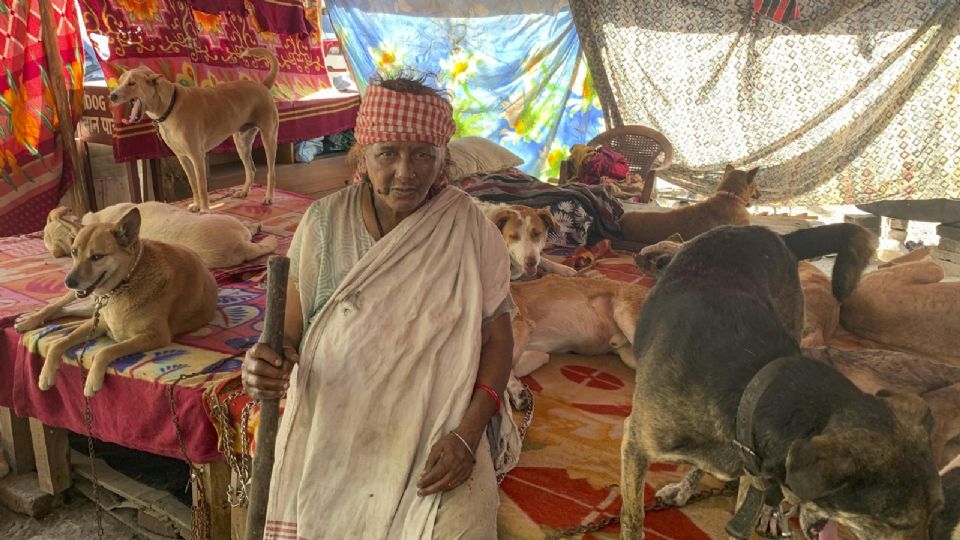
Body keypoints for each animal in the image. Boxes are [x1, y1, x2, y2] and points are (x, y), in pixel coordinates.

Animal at [19, 207, 218, 396]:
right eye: (74, 252)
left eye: (96, 257)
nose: (68, 282)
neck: (125, 283)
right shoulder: (99, 322)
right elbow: (58, 344)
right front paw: (46, 374)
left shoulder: (155, 336)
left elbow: (104, 351)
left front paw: (92, 381)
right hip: (82, 301)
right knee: (57, 306)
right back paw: (28, 321)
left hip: (92, 307)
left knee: (74, 313)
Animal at [111, 48, 282, 213]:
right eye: (119, 82)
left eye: (132, 83)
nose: (111, 96)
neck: (170, 106)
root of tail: (262, 85)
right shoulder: (182, 157)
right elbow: (193, 183)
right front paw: (196, 205)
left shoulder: (197, 156)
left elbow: (201, 185)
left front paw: (205, 210)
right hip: (241, 142)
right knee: (250, 169)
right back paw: (244, 191)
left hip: (269, 138)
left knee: (271, 172)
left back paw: (269, 197)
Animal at [506, 276, 648, 402]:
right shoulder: (536, 353)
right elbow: (513, 370)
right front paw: (517, 393)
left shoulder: (519, 327)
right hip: (628, 356)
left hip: (626, 318)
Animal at [624, 221, 944, 536]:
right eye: (894, 522)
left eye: (938, 512)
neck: (751, 388)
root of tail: (774, 235)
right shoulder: (635, 445)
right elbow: (633, 519)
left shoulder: (751, 475)